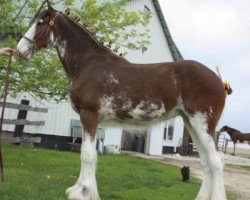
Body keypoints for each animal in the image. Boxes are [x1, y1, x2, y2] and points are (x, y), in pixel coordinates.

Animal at [16, 3, 229, 200]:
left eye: (40, 22)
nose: (20, 49)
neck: (88, 64)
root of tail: (219, 80)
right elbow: (87, 153)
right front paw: (79, 189)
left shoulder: (89, 115)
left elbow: (88, 155)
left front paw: (83, 192)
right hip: (191, 124)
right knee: (206, 163)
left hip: (202, 124)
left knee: (216, 162)